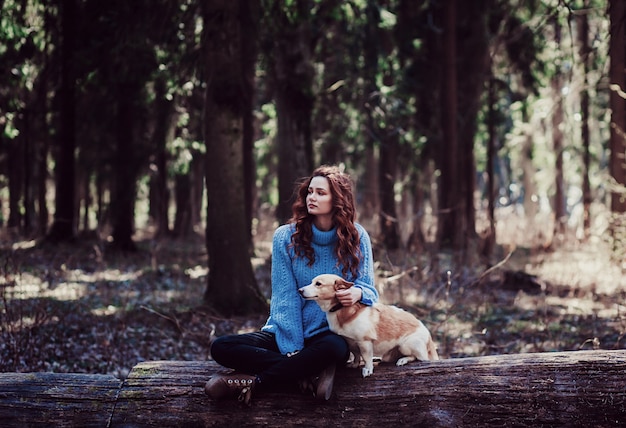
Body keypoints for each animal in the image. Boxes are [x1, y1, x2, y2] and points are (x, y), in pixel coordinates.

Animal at [298, 274, 438, 378]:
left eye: (318, 284)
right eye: (312, 282)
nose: (299, 290)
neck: (341, 309)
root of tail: (429, 336)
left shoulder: (364, 342)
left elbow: (366, 357)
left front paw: (368, 369)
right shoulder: (350, 342)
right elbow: (356, 355)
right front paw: (354, 364)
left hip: (405, 345)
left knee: (420, 358)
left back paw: (403, 360)